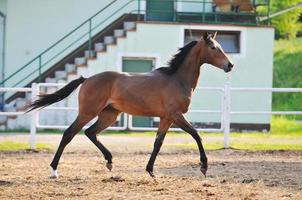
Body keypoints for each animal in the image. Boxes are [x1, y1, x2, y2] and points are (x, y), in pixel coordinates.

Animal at [27, 31, 234, 178]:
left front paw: (150, 170)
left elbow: (158, 143)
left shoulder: (166, 118)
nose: (230, 65)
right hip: (88, 112)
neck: (176, 79)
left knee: (90, 132)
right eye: (214, 47)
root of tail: (87, 79)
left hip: (109, 115)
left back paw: (110, 161)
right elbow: (196, 135)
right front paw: (204, 166)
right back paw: (54, 170)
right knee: (69, 134)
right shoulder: (175, 115)